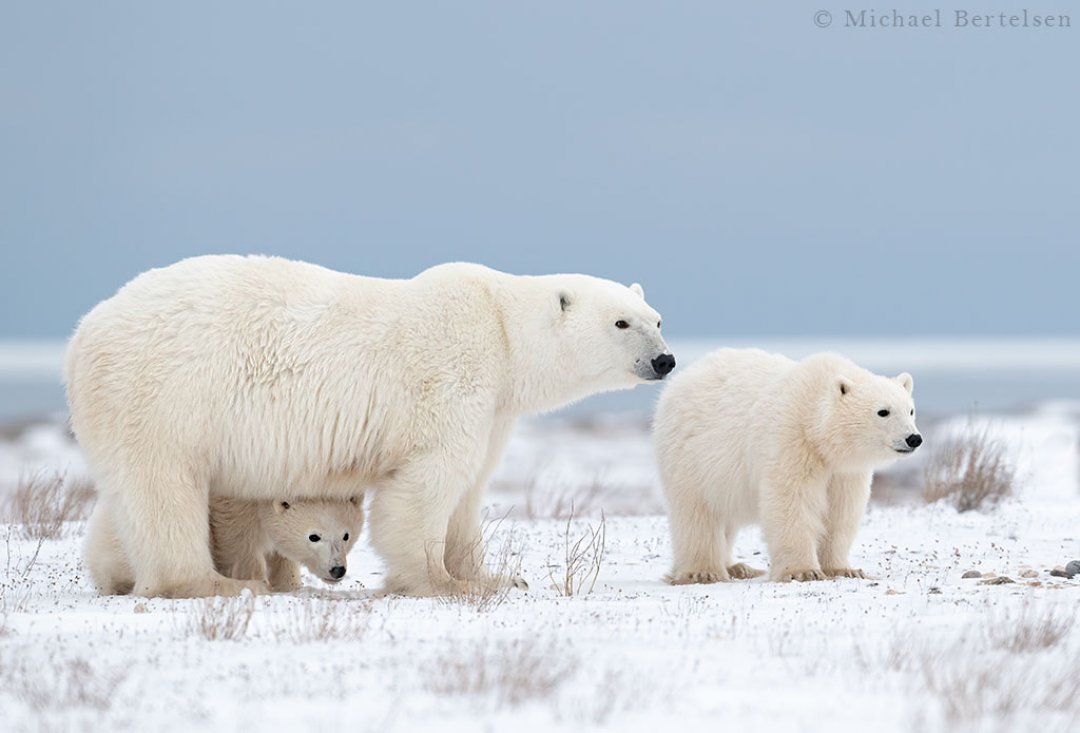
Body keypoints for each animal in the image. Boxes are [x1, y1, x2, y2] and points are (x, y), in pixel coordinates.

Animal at [67, 254, 669, 600]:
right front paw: (438, 583)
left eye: (658, 319)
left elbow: (469, 490)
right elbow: (427, 484)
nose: (666, 360)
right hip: (162, 395)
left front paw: (491, 576)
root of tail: (82, 334)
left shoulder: (495, 409)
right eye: (621, 322)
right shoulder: (450, 380)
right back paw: (215, 583)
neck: (501, 331)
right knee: (162, 487)